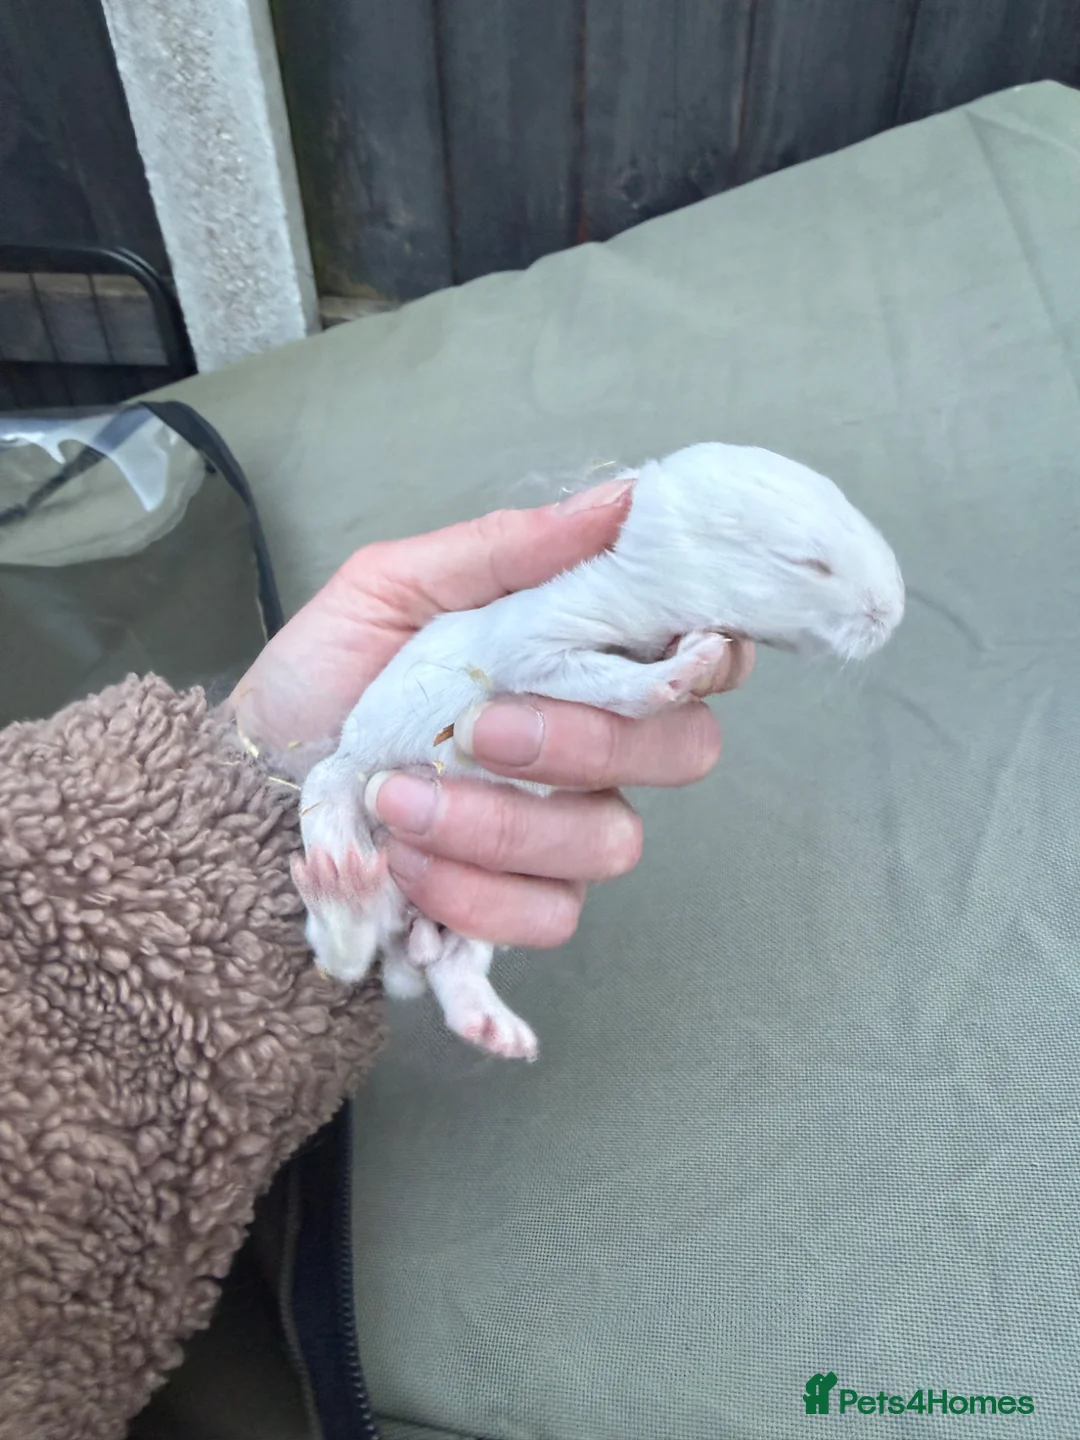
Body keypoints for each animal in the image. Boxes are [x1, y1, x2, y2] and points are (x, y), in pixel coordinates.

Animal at [291, 441, 905, 1060]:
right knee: (343, 955)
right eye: (809, 563)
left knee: (450, 964)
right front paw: (685, 667)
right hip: (334, 790)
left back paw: (493, 1027)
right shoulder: (543, 637)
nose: (892, 613)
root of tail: (405, 948)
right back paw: (341, 887)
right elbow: (591, 675)